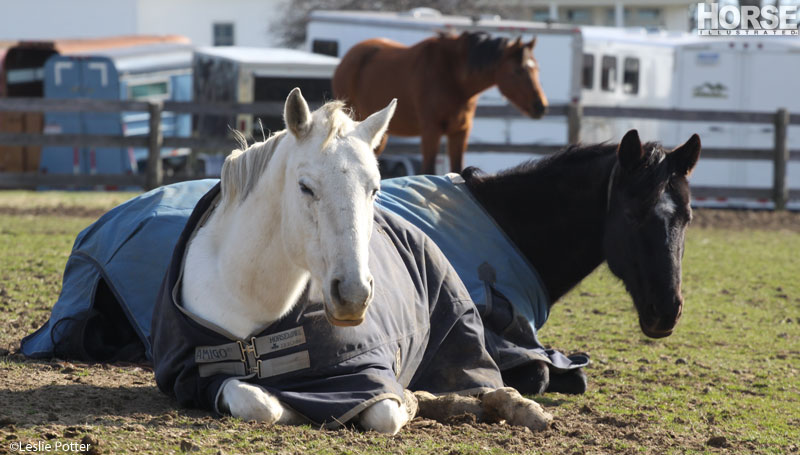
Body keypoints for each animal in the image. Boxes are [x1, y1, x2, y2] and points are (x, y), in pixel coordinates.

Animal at [148, 88, 552, 434]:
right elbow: (258, 402)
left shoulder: (368, 375)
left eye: (375, 188)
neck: (243, 292)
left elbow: (385, 412)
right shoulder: (196, 379)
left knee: (489, 386)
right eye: (305, 186)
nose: (354, 294)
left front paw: (407, 401)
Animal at [332, 32, 552, 175]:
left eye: (537, 68)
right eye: (517, 71)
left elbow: (457, 168)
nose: (540, 106)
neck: (452, 76)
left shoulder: (460, 132)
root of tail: (348, 58)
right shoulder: (432, 131)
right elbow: (428, 169)